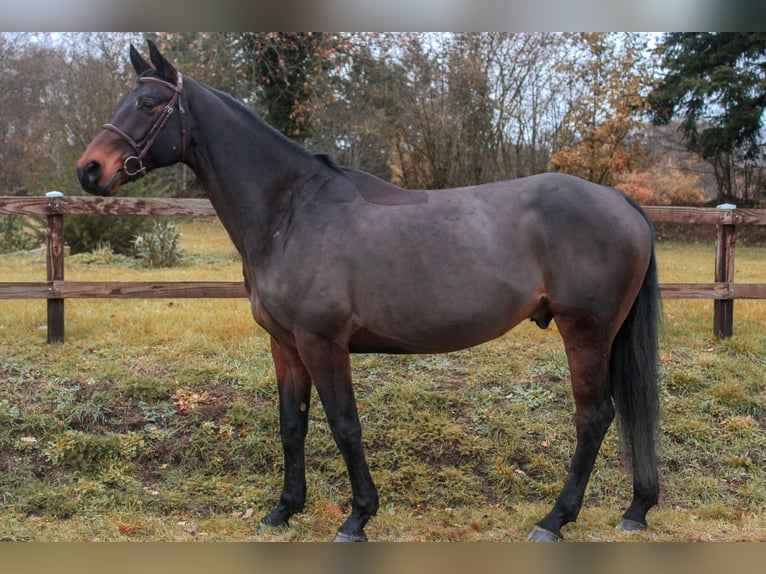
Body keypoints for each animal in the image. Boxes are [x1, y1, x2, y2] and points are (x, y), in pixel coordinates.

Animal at [77, 41, 660, 542]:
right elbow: (293, 425)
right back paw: (636, 508)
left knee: (593, 417)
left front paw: (357, 517)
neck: (291, 211)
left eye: (148, 103)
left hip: (585, 332)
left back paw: (555, 519)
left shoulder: (323, 343)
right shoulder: (286, 345)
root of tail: (621, 200)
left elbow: (344, 426)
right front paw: (284, 509)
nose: (89, 170)